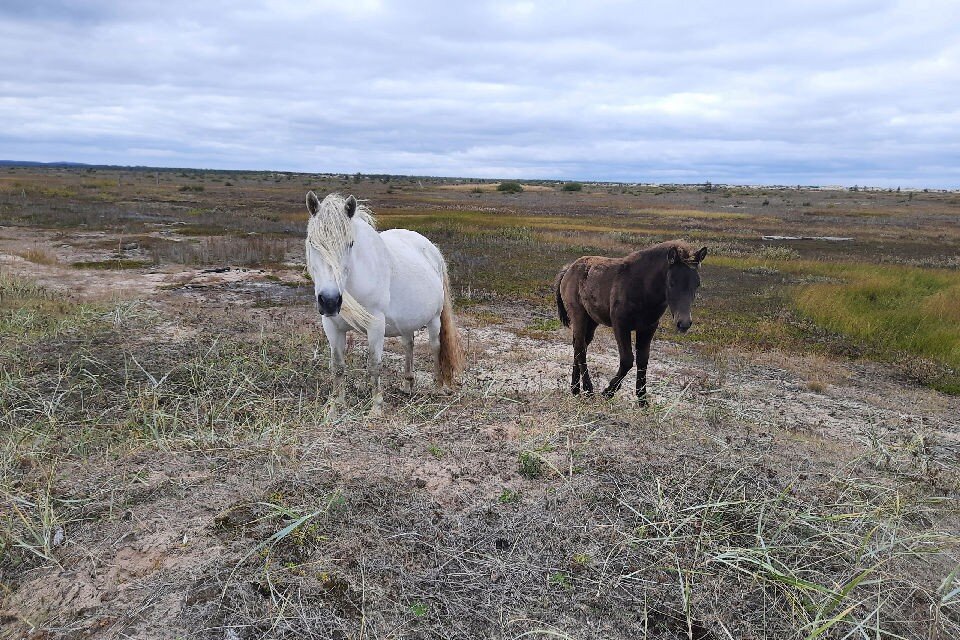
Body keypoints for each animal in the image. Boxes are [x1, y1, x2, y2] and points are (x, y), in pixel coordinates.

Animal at [304, 190, 462, 412]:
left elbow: (374, 364)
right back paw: (407, 384)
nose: (330, 301)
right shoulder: (331, 325)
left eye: (350, 244)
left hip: (434, 320)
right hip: (406, 322)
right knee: (408, 344)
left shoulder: (376, 325)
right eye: (312, 242)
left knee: (435, 348)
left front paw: (376, 407)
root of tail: (432, 250)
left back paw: (438, 387)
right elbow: (337, 365)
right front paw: (336, 404)